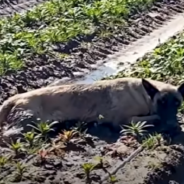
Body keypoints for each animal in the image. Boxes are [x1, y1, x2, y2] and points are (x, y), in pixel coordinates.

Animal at [0, 77, 183, 132]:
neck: (144, 95)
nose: (173, 125)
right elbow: (154, 117)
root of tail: (16, 96)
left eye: (177, 103)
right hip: (28, 123)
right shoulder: (122, 120)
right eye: (161, 102)